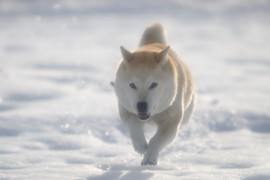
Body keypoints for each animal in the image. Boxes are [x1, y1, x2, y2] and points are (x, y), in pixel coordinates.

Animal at [110, 23, 195, 165]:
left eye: (153, 85)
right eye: (132, 85)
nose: (141, 105)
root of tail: (154, 43)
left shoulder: (172, 120)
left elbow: (157, 139)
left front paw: (150, 157)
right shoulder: (126, 110)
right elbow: (133, 123)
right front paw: (140, 144)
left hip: (186, 115)